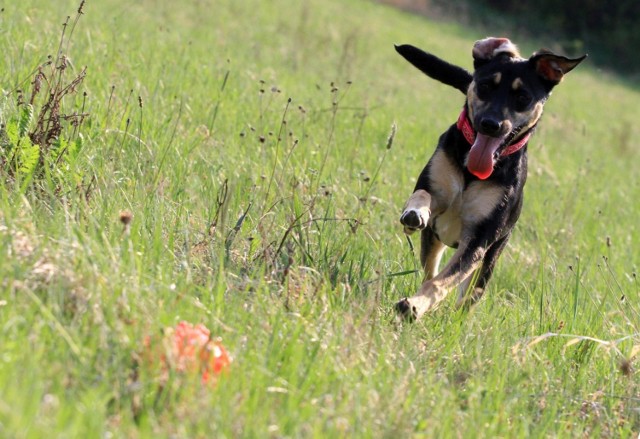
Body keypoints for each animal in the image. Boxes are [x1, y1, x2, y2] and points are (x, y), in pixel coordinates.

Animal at [396, 37, 584, 322]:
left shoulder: (479, 240)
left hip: (490, 259)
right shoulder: (435, 190)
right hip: (434, 240)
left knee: (465, 292)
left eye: (523, 97)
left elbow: (440, 284)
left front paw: (414, 306)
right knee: (430, 269)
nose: (490, 124)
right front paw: (415, 212)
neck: (472, 171)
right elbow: (423, 194)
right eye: (484, 86)